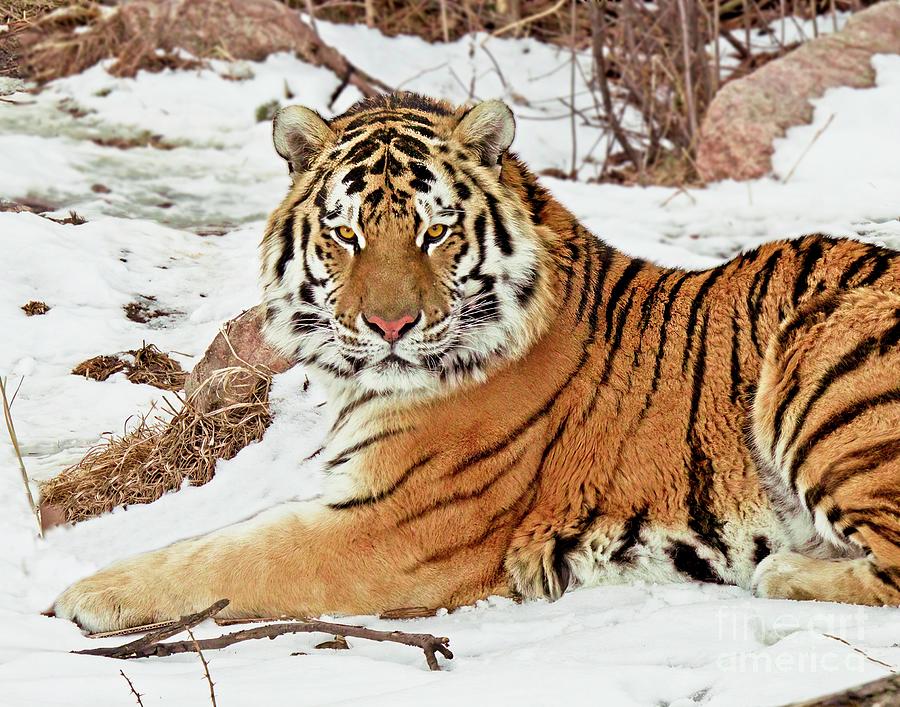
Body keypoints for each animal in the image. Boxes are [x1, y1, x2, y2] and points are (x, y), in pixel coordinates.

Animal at [54, 91, 900, 632]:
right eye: (347, 234)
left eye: (434, 232)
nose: (390, 323)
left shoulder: (391, 527)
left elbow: (226, 555)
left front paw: (82, 593)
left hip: (818, 359)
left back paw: (783, 568)